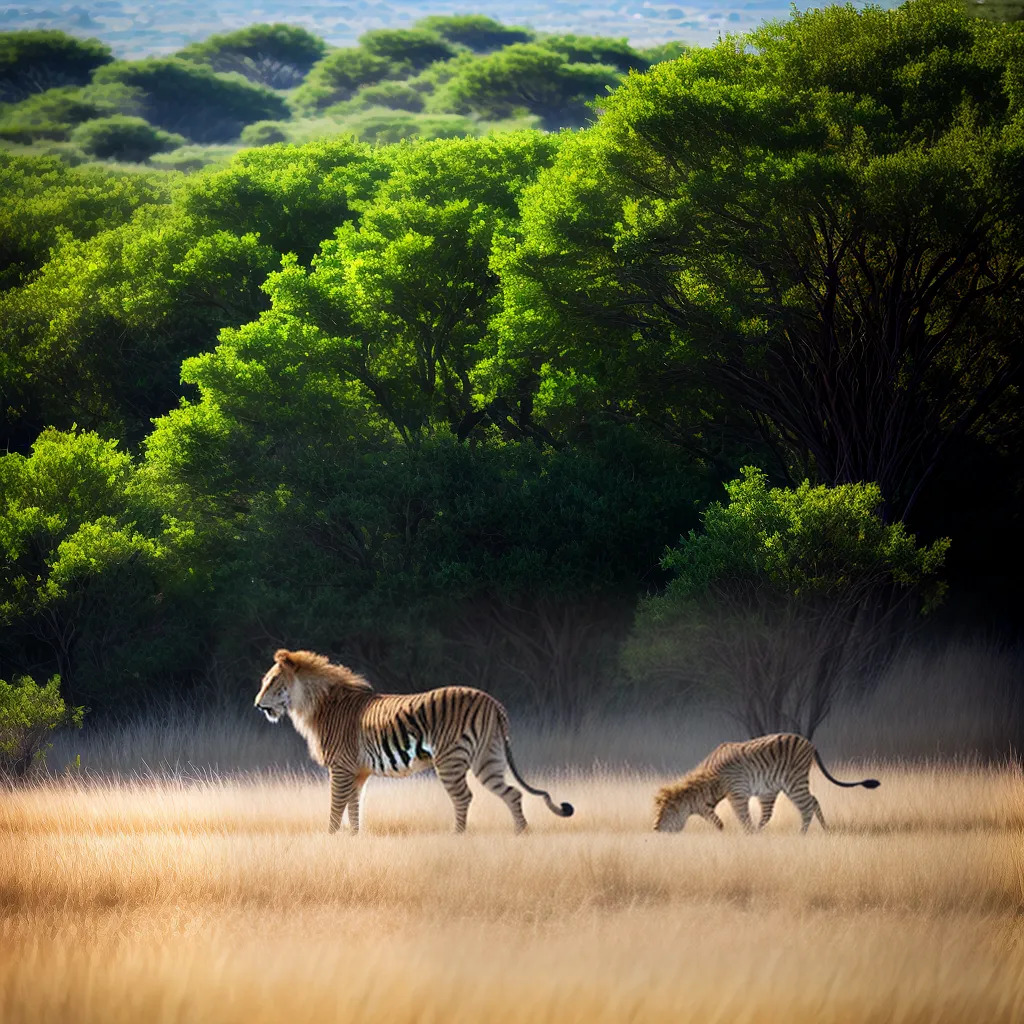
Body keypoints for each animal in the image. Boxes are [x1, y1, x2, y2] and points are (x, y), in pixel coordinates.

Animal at [254, 648, 574, 834]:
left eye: (271, 681)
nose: (257, 705)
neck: (313, 703)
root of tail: (492, 701)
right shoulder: (357, 772)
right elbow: (354, 810)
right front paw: (353, 841)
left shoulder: (341, 768)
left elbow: (335, 810)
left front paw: (330, 840)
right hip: (488, 759)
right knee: (513, 793)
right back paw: (522, 836)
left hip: (450, 760)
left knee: (464, 797)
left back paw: (457, 838)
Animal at [653, 732, 880, 833]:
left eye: (666, 812)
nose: (655, 828)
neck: (711, 781)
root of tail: (809, 742)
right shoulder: (711, 804)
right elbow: (719, 821)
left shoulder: (737, 793)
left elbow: (743, 818)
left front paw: (745, 837)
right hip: (772, 788)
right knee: (787, 808)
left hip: (793, 781)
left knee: (808, 805)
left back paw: (803, 835)